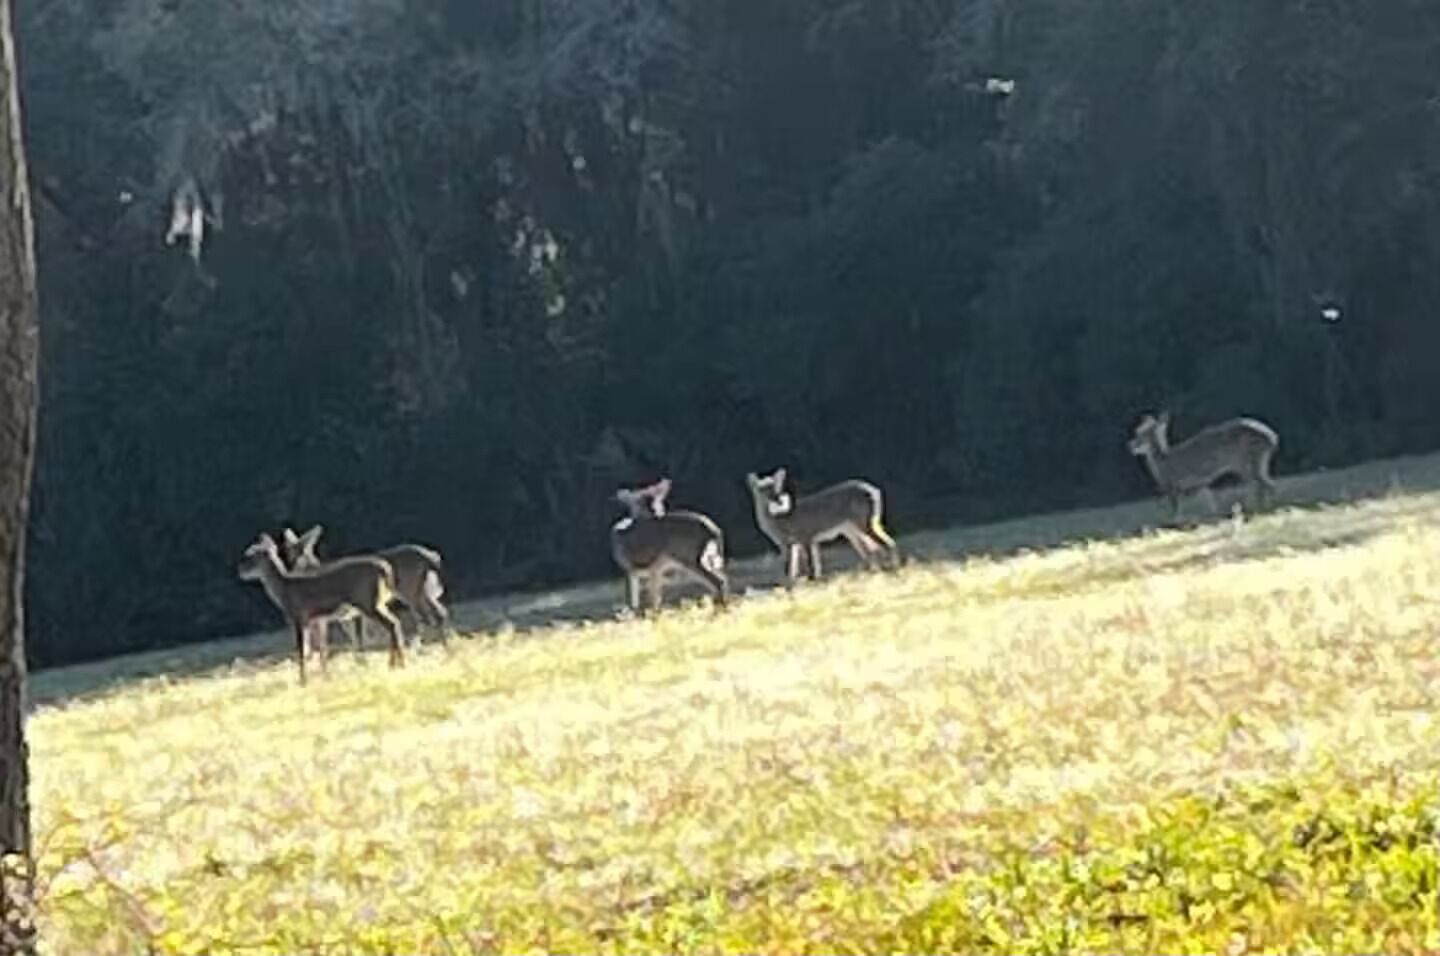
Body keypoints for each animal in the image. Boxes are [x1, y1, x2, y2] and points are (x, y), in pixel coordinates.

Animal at [236, 532, 406, 686]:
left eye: (250, 556)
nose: (240, 571)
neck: (285, 589)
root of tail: (384, 568)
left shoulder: (300, 617)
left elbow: (302, 651)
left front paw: (303, 681)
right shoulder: (316, 619)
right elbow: (321, 649)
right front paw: (325, 677)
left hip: (367, 601)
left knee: (392, 624)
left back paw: (395, 664)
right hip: (376, 602)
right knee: (395, 622)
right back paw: (398, 663)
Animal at [278, 525, 451, 649]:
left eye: (288, 551)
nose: (288, 566)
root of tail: (431, 556)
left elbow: (360, 638)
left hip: (411, 590)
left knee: (432, 615)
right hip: (422, 590)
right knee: (439, 613)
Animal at [610, 478, 729, 615]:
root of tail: (714, 530)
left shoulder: (630, 568)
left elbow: (635, 600)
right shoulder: (655, 569)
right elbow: (654, 597)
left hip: (688, 556)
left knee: (717, 581)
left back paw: (718, 609)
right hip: (708, 557)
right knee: (723, 577)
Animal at [745, 468, 901, 585]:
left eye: (777, 487)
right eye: (761, 490)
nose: (777, 499)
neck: (780, 519)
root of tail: (874, 492)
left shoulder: (805, 535)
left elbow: (808, 563)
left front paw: (810, 581)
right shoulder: (792, 543)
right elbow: (795, 566)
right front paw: (795, 583)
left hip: (863, 522)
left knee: (886, 543)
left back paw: (894, 569)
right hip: (853, 529)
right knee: (871, 550)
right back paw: (874, 573)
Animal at [1127, 411, 1279, 521]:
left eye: (1142, 434)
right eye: (1138, 432)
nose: (1131, 445)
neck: (1163, 462)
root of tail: (1271, 438)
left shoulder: (1173, 485)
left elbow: (1177, 508)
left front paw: (1176, 522)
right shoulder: (1199, 483)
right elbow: (1208, 499)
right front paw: (1215, 516)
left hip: (1246, 461)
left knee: (1260, 484)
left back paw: (1257, 509)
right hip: (1257, 463)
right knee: (1264, 483)